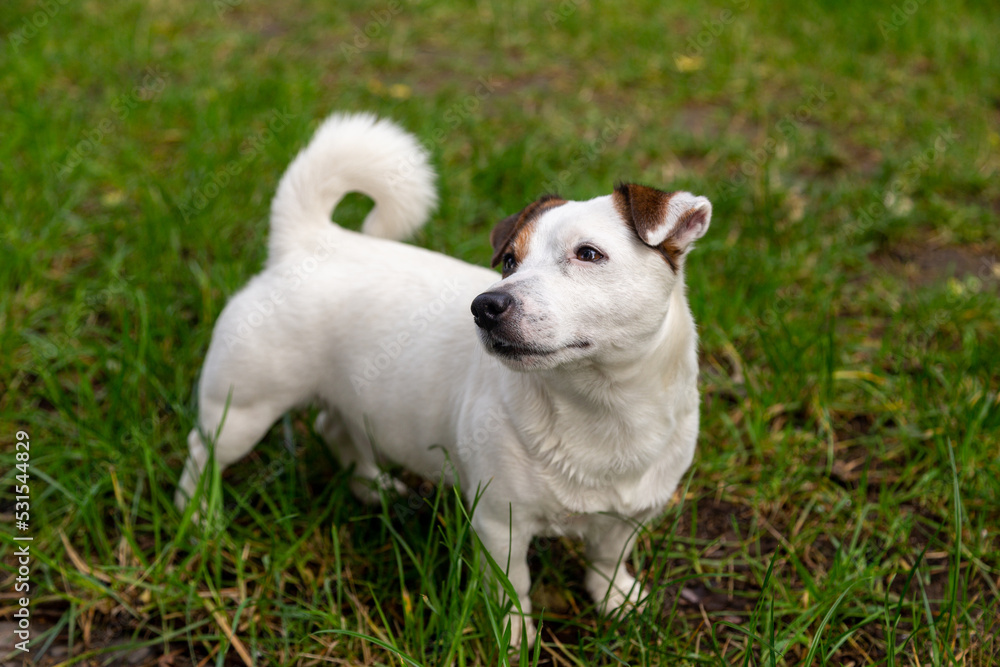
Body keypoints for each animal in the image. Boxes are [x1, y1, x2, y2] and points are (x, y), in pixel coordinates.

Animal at [180, 113, 712, 648]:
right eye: (509, 262)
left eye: (589, 254)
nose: (486, 305)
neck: (601, 405)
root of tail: (310, 242)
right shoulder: (500, 523)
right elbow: (512, 585)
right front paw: (513, 635)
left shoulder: (628, 518)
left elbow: (607, 559)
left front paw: (616, 600)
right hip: (242, 409)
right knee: (203, 452)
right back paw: (198, 516)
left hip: (352, 398)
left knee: (335, 428)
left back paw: (372, 486)